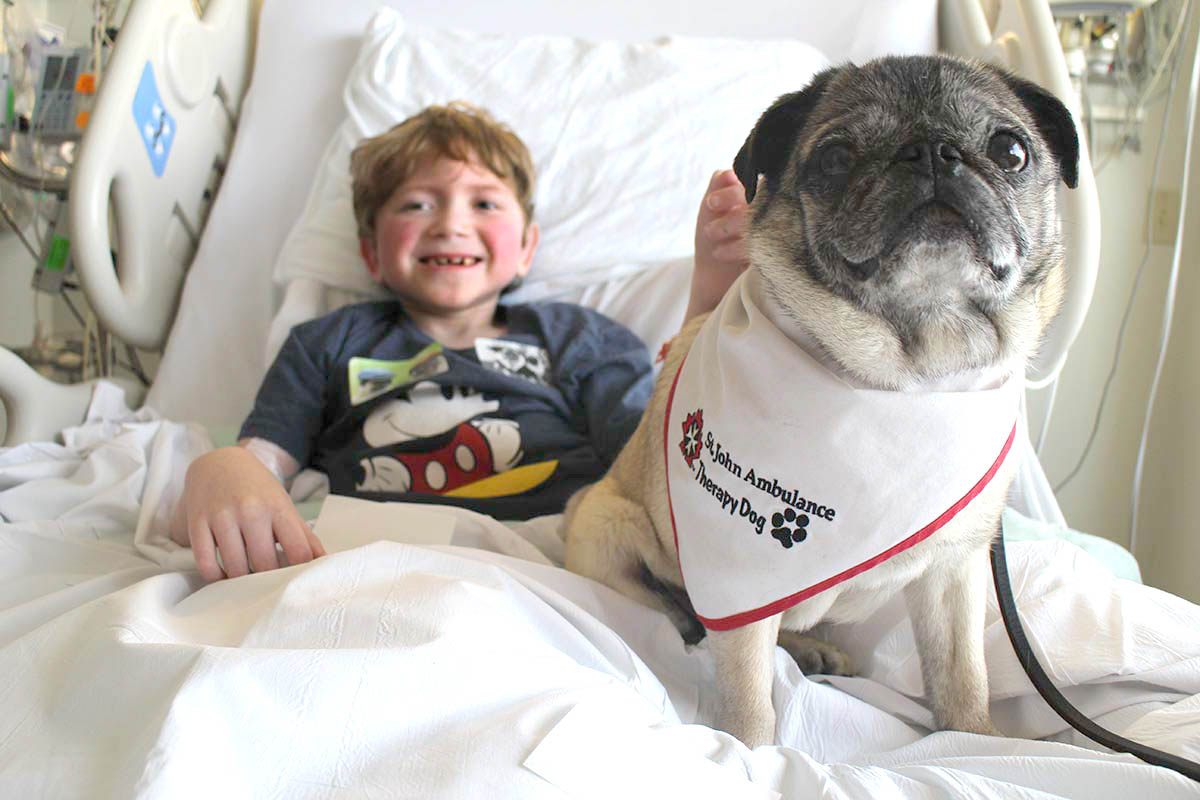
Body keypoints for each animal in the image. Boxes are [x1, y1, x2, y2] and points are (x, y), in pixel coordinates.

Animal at [561, 56, 1080, 753]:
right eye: (835, 158)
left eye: (1012, 151)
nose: (932, 151)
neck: (910, 375)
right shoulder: (739, 587)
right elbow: (749, 695)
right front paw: (747, 756)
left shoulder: (955, 573)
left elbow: (961, 675)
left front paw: (977, 740)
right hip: (608, 528)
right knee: (678, 611)